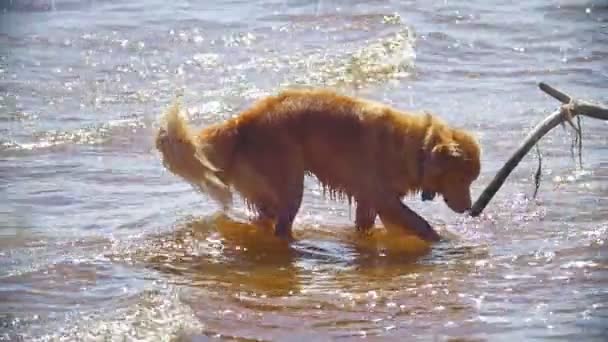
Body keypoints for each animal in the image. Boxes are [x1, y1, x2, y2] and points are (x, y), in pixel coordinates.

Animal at [157, 89, 480, 242]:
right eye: (463, 178)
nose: (469, 208)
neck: (417, 148)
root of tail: (243, 122)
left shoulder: (373, 202)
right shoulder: (382, 198)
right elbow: (421, 224)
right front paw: (441, 242)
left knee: (265, 220)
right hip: (290, 183)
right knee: (281, 227)